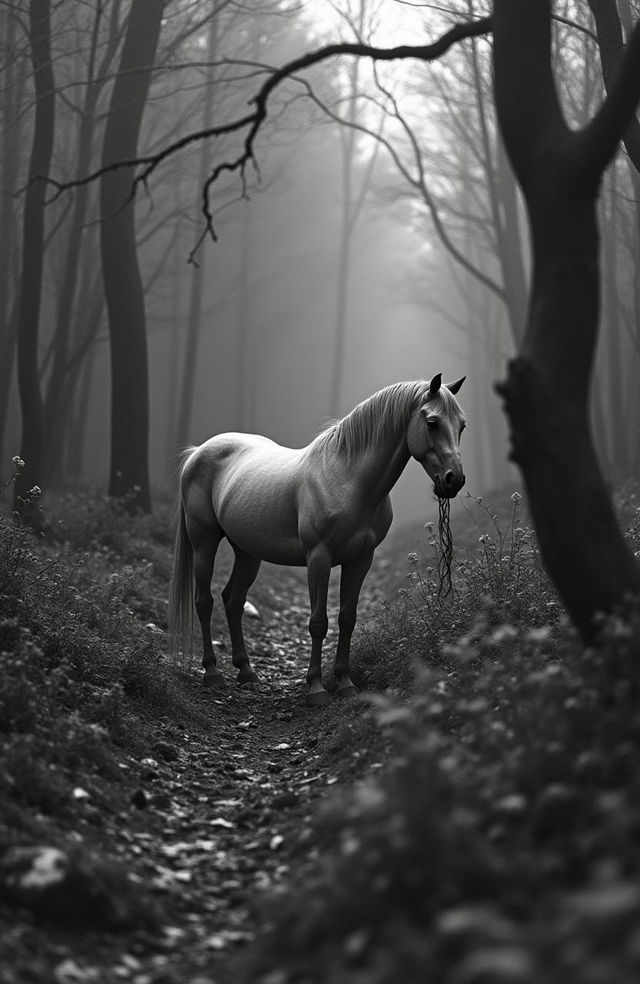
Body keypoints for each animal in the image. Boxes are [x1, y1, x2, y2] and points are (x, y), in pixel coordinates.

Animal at [169, 372, 464, 704]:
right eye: (432, 423)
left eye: (461, 425)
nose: (454, 480)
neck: (347, 480)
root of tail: (197, 452)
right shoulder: (319, 558)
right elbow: (318, 623)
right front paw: (316, 688)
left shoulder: (361, 560)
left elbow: (346, 618)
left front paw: (346, 682)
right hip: (204, 543)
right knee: (204, 601)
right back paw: (212, 673)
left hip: (247, 552)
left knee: (233, 601)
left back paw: (246, 672)